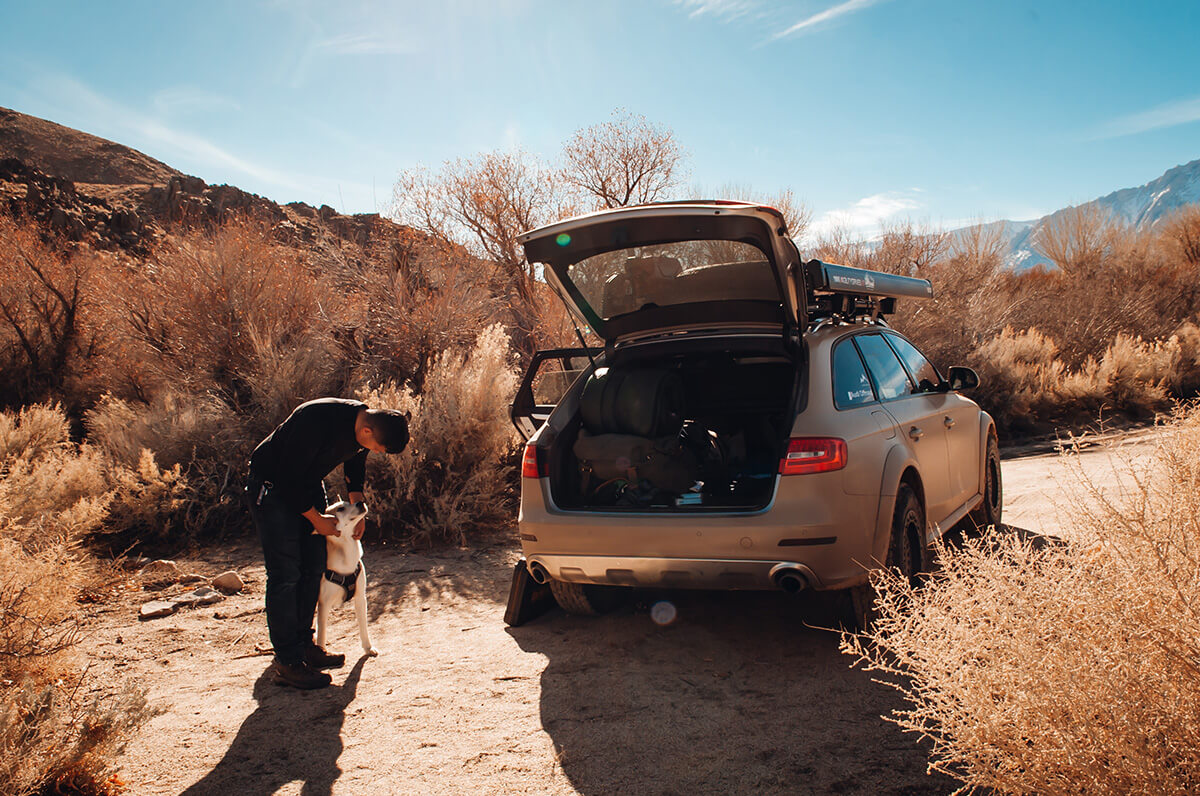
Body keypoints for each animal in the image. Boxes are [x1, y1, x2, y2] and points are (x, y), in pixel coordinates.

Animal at [316, 501, 376, 657]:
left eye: (349, 502)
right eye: (340, 508)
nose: (360, 502)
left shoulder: (360, 597)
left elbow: (363, 626)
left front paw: (368, 648)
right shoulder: (324, 604)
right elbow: (321, 635)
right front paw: (322, 652)